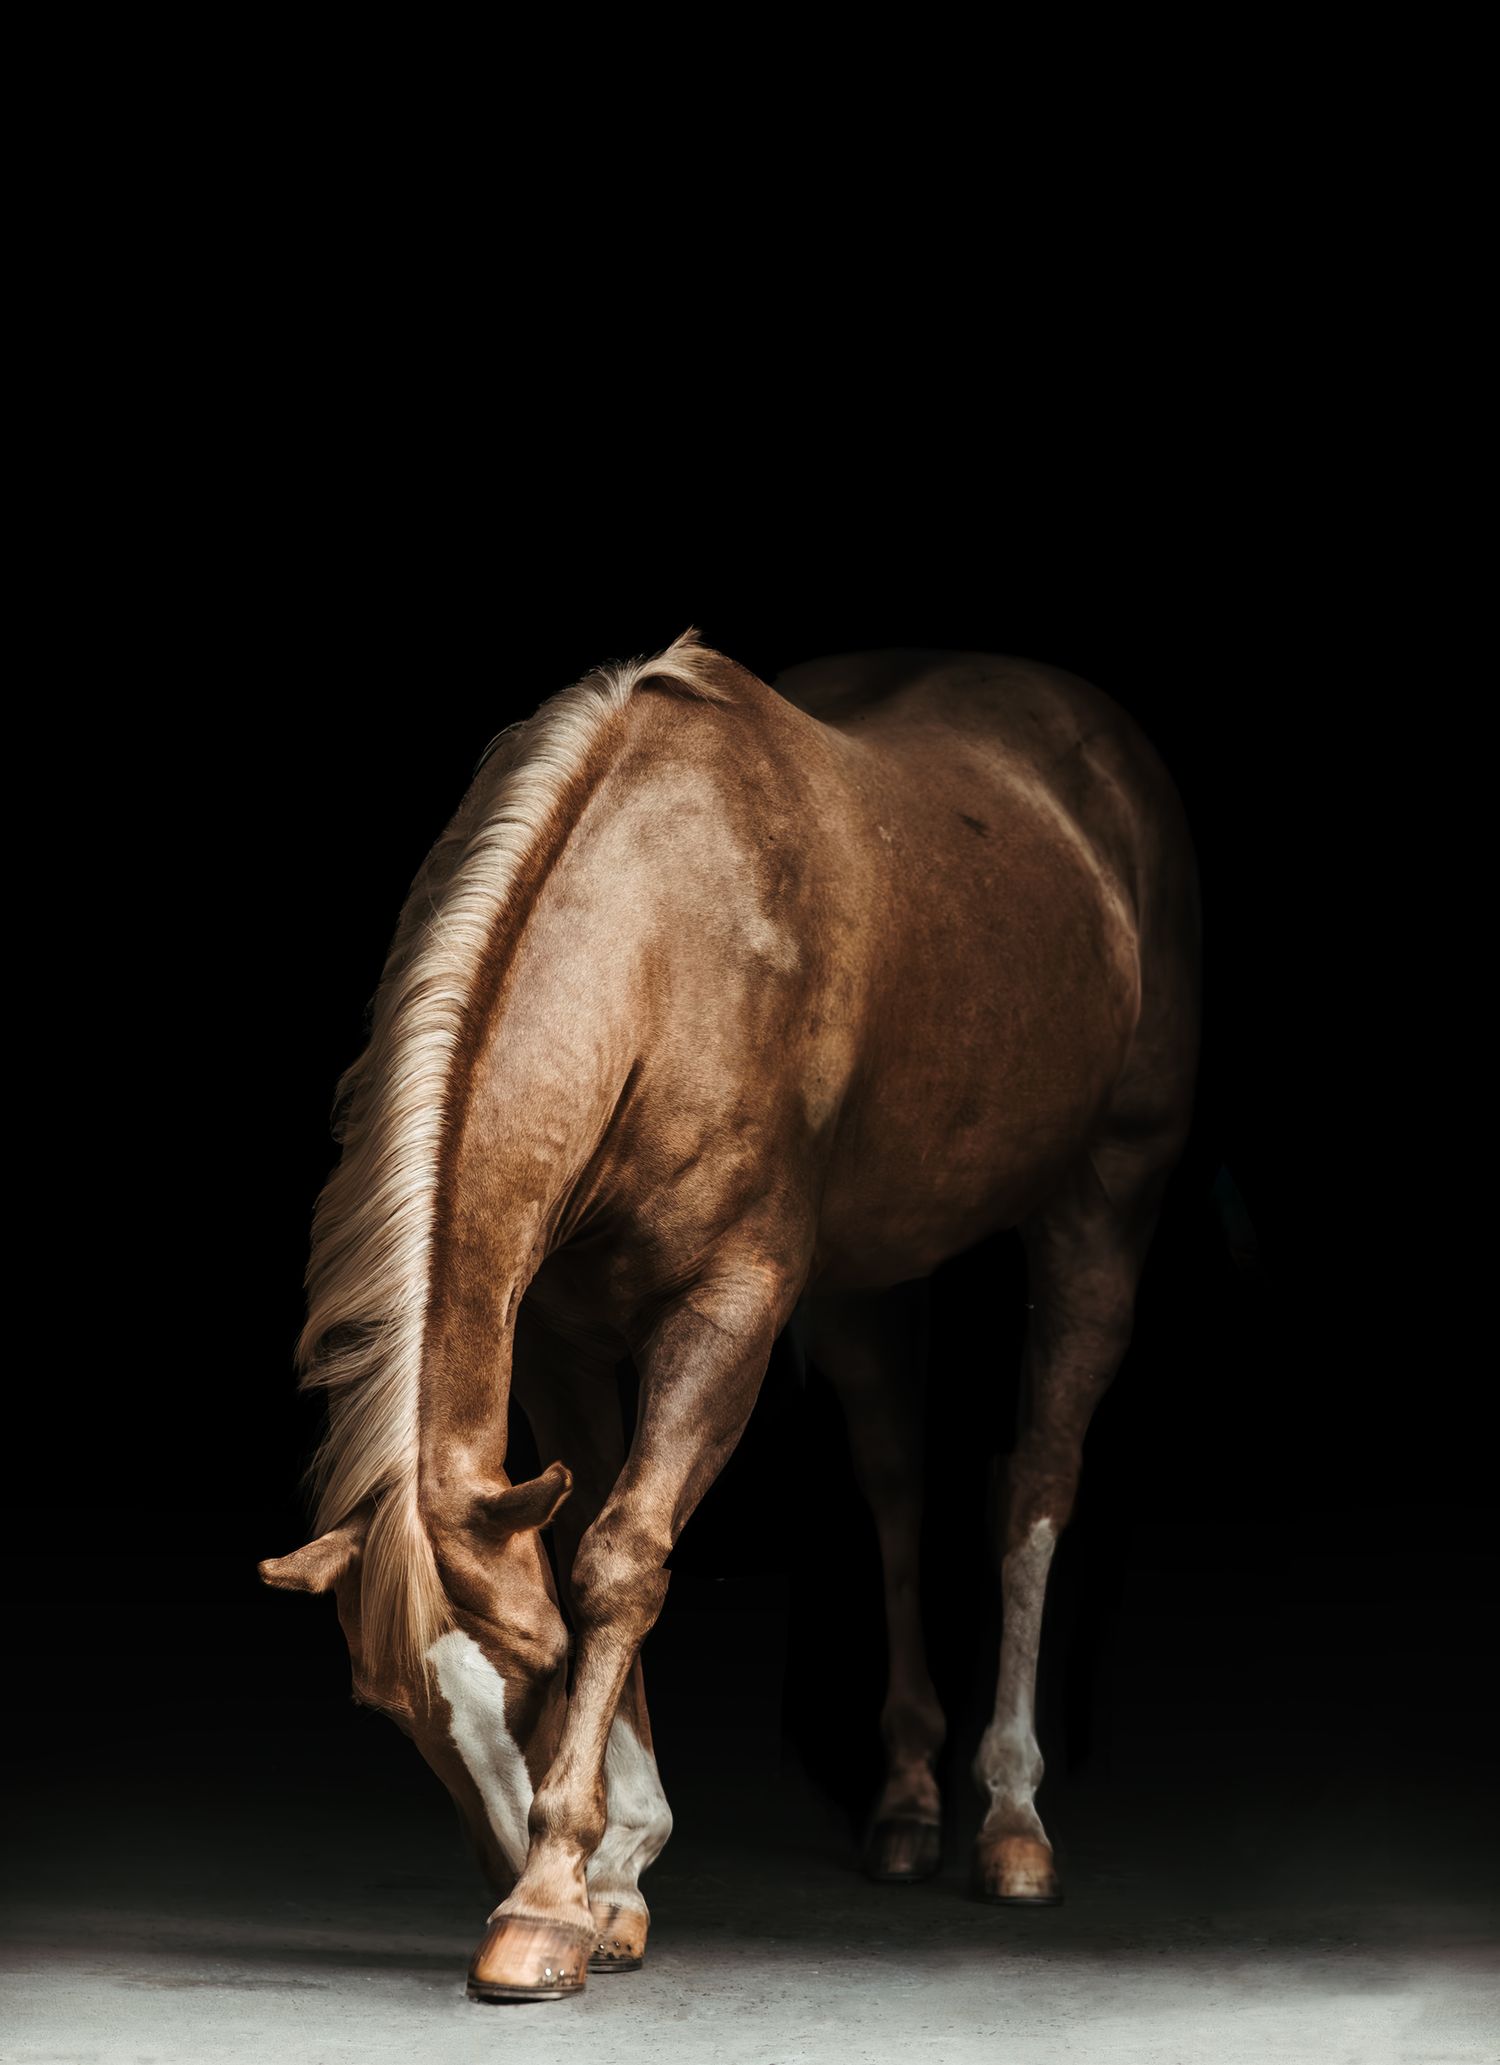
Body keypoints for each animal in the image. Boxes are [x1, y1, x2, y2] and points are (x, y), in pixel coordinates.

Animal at [259, 628, 1201, 2003]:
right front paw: (613, 1878)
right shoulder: (562, 1339)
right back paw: (907, 1800)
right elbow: (600, 1533)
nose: (502, 1858)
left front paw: (557, 1896)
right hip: (869, 1277)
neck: (667, 942)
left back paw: (1012, 1820)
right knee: (896, 1485)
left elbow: (623, 1558)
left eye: (536, 1669)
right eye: (390, 1707)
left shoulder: (730, 1310)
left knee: (1035, 1483)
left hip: (1105, 1203)